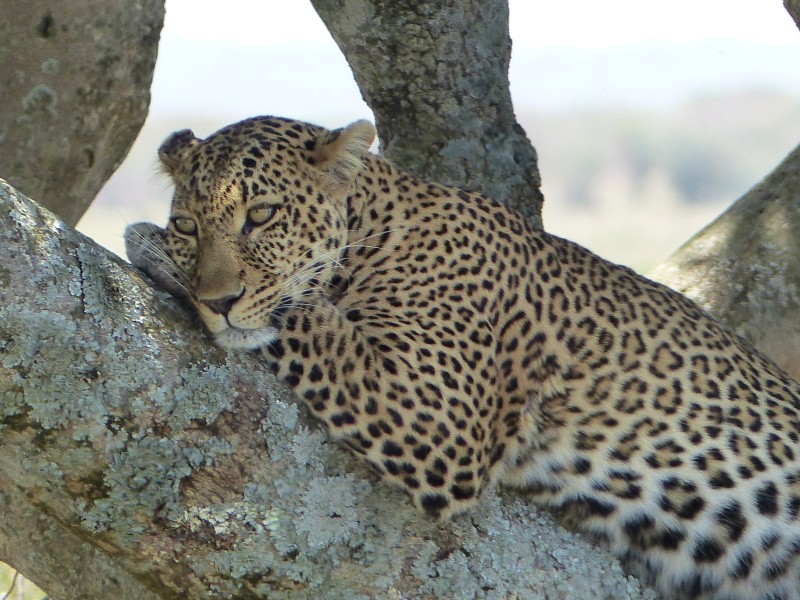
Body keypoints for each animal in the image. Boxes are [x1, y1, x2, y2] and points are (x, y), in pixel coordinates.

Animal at [125, 115, 800, 600]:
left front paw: (149, 248)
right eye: (189, 225)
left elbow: (306, 315)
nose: (218, 301)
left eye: (261, 215)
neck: (375, 226)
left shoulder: (433, 410)